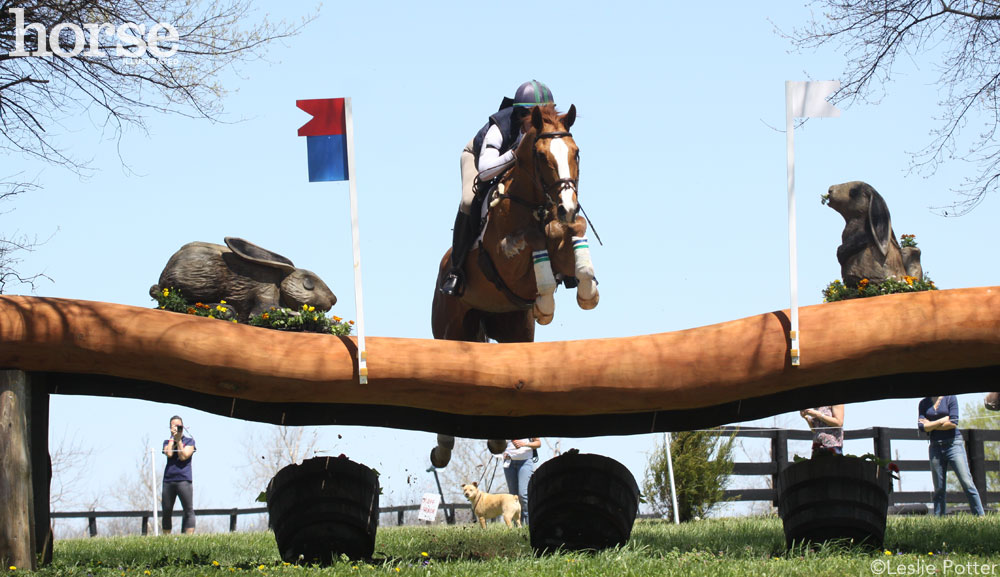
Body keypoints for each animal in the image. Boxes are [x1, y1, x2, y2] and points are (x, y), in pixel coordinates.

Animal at [426, 102, 596, 468]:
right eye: (542, 156)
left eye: (576, 153)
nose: (567, 204)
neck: (533, 203)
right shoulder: (505, 262)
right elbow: (531, 239)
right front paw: (545, 302)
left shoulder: (561, 236)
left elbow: (571, 229)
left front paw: (587, 288)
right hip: (451, 329)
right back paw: (443, 448)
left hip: (513, 331)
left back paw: (496, 438)